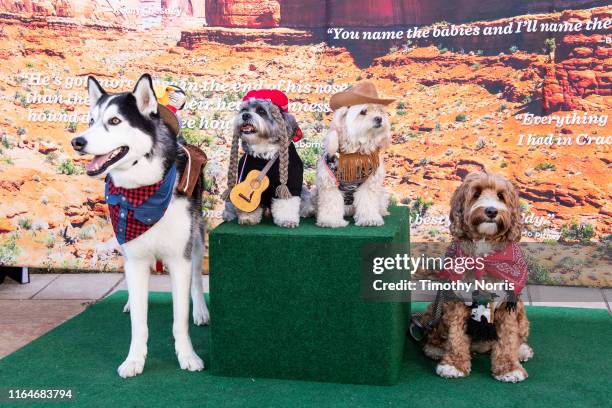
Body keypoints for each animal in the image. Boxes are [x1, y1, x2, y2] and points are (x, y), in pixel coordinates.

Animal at [70, 74, 209, 380]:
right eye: (91, 120)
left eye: (114, 121)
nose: (77, 141)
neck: (143, 189)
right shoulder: (134, 258)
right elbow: (139, 322)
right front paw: (134, 360)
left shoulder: (179, 258)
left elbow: (180, 319)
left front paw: (188, 356)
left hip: (196, 236)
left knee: (196, 275)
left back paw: (201, 311)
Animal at [221, 90, 308, 228]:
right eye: (244, 109)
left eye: (261, 111)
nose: (245, 115)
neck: (264, 146)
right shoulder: (245, 178)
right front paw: (248, 218)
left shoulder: (291, 182)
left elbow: (287, 201)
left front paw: (287, 220)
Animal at [424, 172, 532, 382]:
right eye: (476, 194)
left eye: (501, 196)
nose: (491, 211)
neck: (483, 255)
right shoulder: (456, 300)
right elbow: (456, 336)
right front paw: (454, 364)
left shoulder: (507, 304)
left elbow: (508, 338)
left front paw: (509, 368)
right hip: (436, 307)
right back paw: (435, 348)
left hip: (521, 311)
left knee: (519, 334)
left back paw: (522, 350)